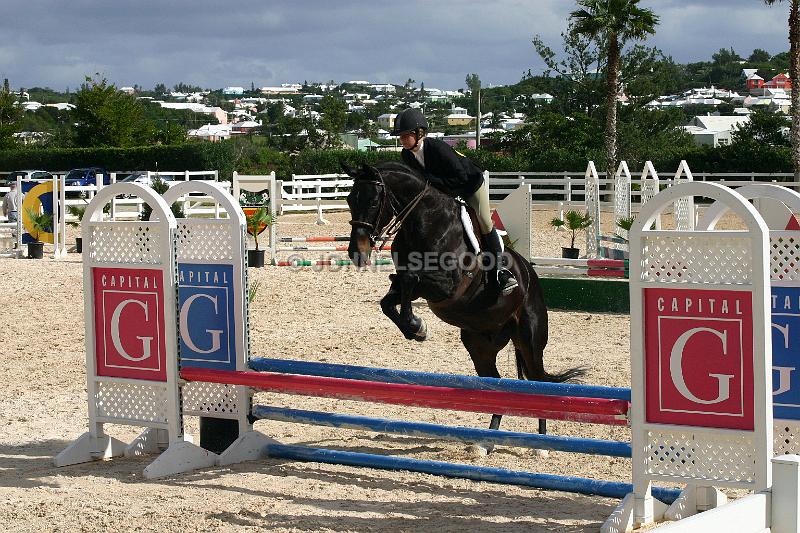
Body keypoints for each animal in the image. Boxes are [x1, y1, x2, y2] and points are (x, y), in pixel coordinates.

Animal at [340, 160, 584, 438]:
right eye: (349, 199)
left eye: (372, 202)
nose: (356, 253)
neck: (424, 222)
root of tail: (529, 274)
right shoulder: (414, 288)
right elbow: (390, 298)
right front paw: (416, 328)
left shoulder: (448, 286)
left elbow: (411, 278)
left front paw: (416, 325)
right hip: (480, 344)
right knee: (497, 384)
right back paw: (487, 441)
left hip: (529, 339)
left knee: (537, 382)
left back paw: (540, 441)